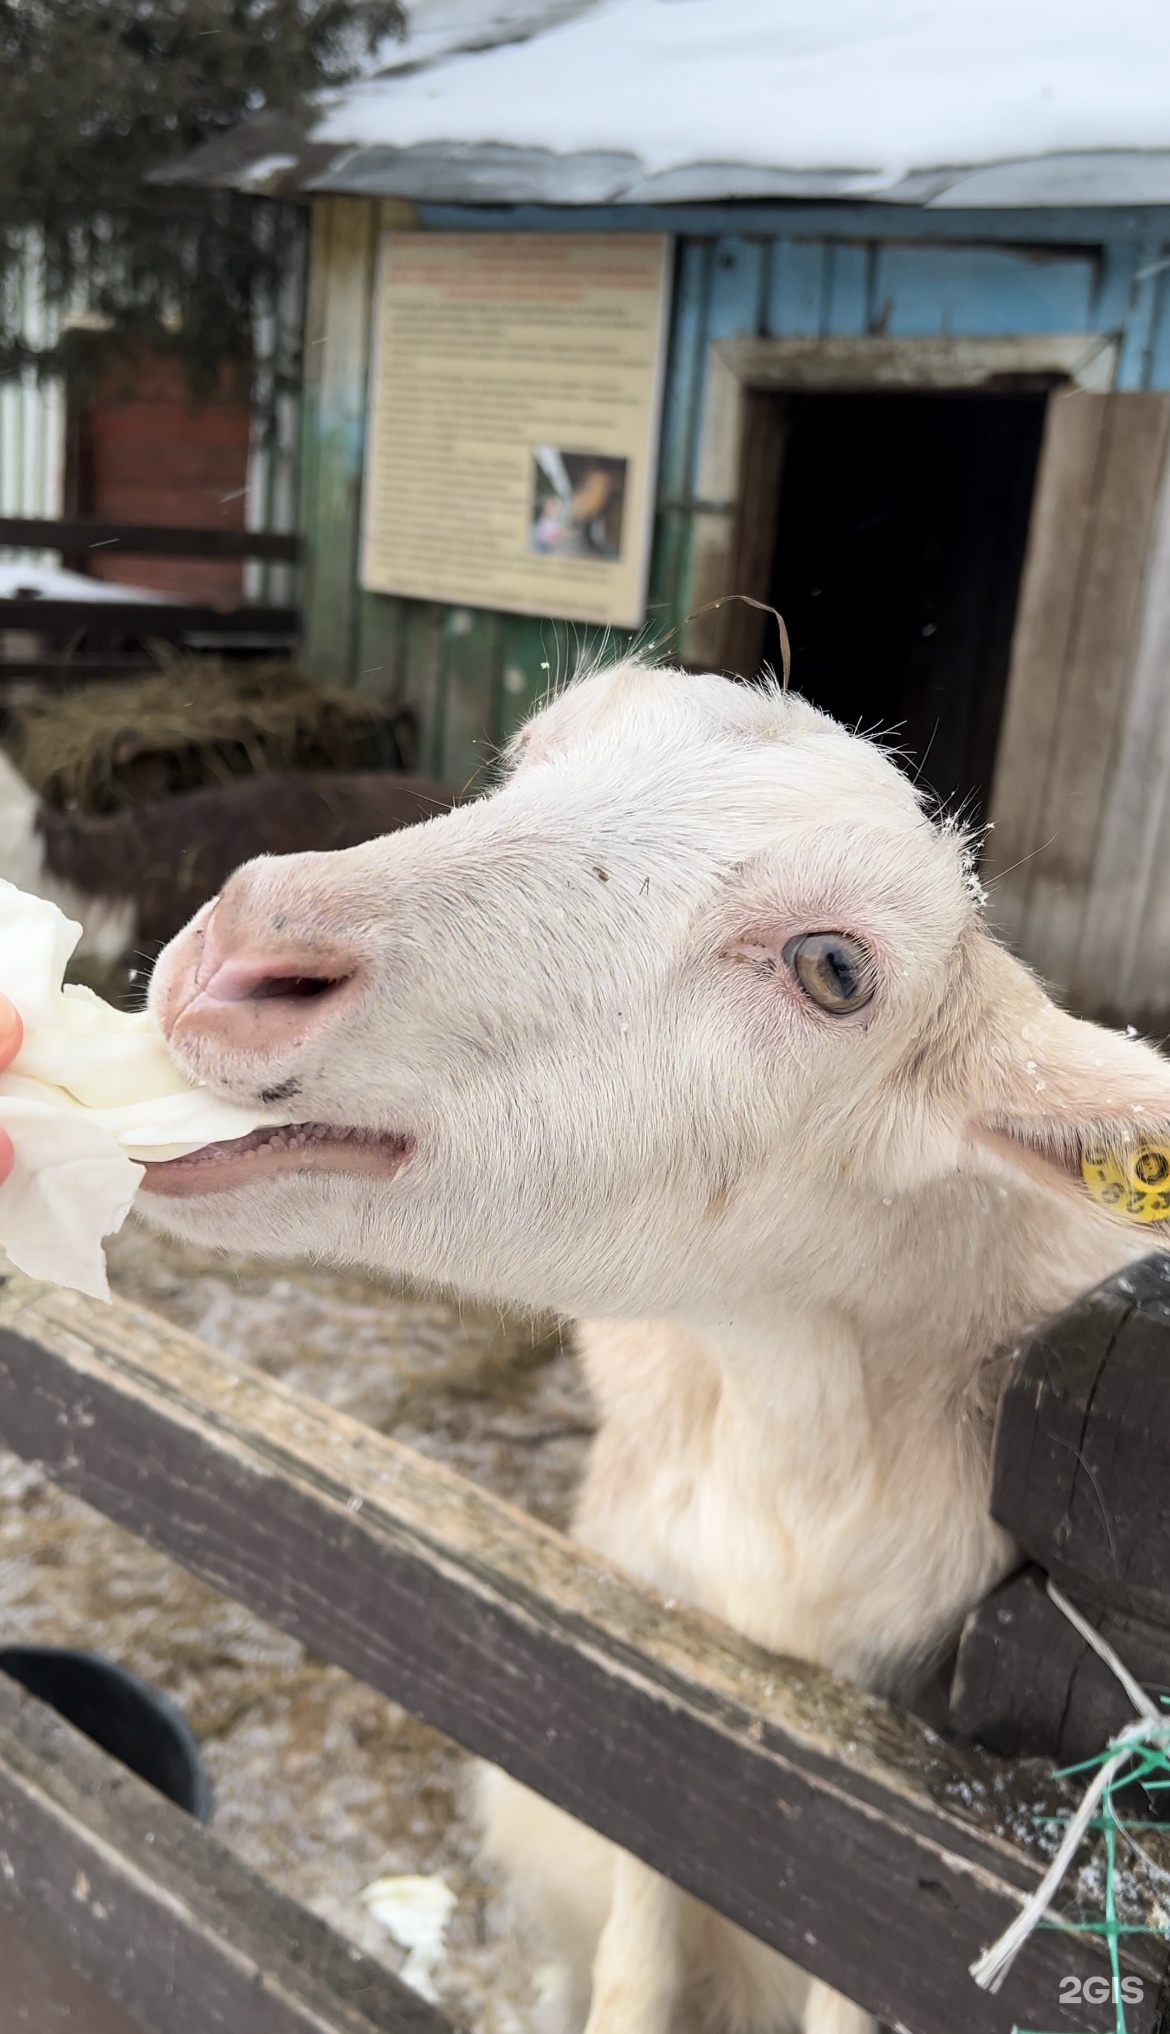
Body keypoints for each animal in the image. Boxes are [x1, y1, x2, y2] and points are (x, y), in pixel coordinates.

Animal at [139, 663, 1170, 2033]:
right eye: (530, 754)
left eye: (834, 969)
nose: (246, 952)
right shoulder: (647, 1710)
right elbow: (634, 1961)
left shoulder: (872, 1813)